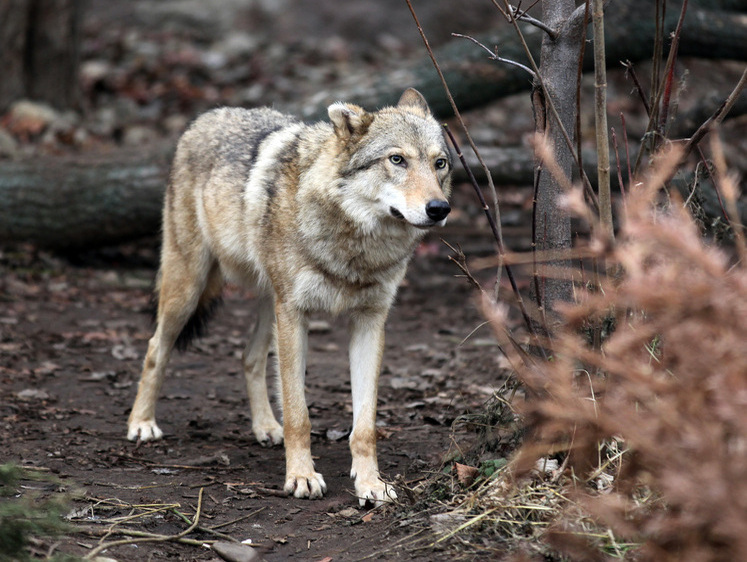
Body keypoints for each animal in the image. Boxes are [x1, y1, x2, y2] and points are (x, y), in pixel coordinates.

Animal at [126, 87, 452, 504]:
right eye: (397, 159)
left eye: (440, 163)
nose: (439, 208)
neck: (356, 247)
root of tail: (205, 117)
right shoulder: (296, 314)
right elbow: (299, 414)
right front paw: (301, 477)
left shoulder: (370, 321)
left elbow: (364, 425)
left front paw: (370, 483)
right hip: (189, 290)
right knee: (155, 347)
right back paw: (141, 423)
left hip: (270, 306)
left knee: (249, 357)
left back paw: (266, 427)